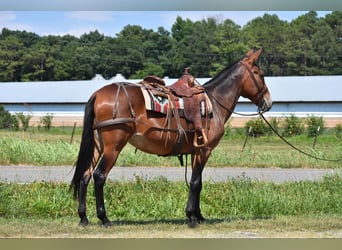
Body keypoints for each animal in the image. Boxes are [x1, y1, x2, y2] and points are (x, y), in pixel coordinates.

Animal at [71, 47, 272, 228]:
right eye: (260, 74)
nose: (269, 102)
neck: (214, 103)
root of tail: (98, 94)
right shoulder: (204, 150)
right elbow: (196, 182)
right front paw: (192, 217)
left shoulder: (196, 151)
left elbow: (197, 182)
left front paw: (199, 216)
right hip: (113, 147)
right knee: (99, 176)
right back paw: (104, 219)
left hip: (98, 146)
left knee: (85, 176)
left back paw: (83, 218)